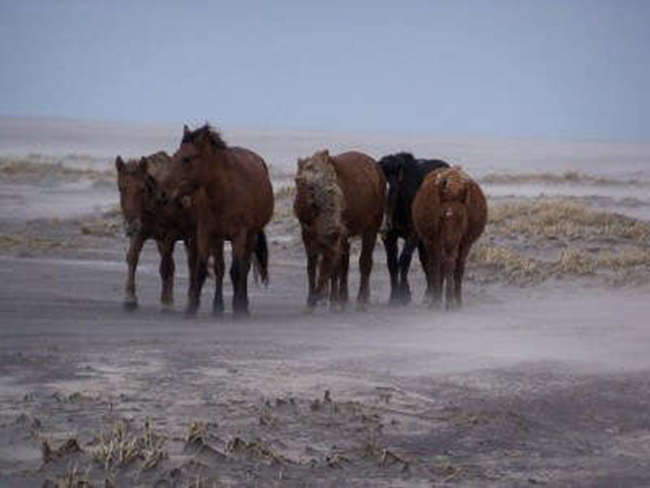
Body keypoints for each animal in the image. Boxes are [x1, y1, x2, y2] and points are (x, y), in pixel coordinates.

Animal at [114, 152, 199, 310]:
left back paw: (191, 299)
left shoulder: (170, 235)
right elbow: (132, 258)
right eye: (120, 188)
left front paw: (165, 301)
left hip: (193, 236)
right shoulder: (140, 233)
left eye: (142, 189)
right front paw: (130, 296)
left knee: (192, 264)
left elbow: (165, 267)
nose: (130, 225)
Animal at [162, 125, 274, 316]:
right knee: (220, 268)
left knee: (244, 267)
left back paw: (243, 304)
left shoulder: (239, 235)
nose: (163, 192)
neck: (225, 193)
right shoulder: (206, 233)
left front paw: (238, 308)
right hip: (219, 238)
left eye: (187, 159)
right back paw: (218, 307)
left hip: (251, 235)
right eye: (175, 156)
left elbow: (236, 271)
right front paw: (192, 308)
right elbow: (202, 270)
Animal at [294, 150, 384, 308]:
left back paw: (361, 299)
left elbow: (334, 268)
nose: (302, 211)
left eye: (311, 187)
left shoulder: (336, 236)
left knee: (365, 262)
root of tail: (376, 167)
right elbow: (312, 267)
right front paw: (312, 299)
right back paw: (346, 297)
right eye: (297, 181)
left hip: (371, 228)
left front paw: (332, 300)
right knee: (345, 264)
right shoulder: (308, 235)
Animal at [378, 152, 448, 304]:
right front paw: (394, 297)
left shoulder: (413, 233)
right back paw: (429, 293)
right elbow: (392, 264)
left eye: (394, 190)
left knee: (436, 259)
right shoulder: (389, 237)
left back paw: (434, 293)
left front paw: (404, 294)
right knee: (426, 260)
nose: (383, 225)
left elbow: (404, 259)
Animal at [410, 166, 486, 306]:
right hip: (430, 242)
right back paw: (436, 297)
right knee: (436, 265)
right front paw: (440, 300)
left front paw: (456, 301)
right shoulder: (436, 241)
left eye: (462, 217)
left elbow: (458, 268)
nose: (449, 243)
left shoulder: (465, 243)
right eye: (441, 217)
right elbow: (439, 266)